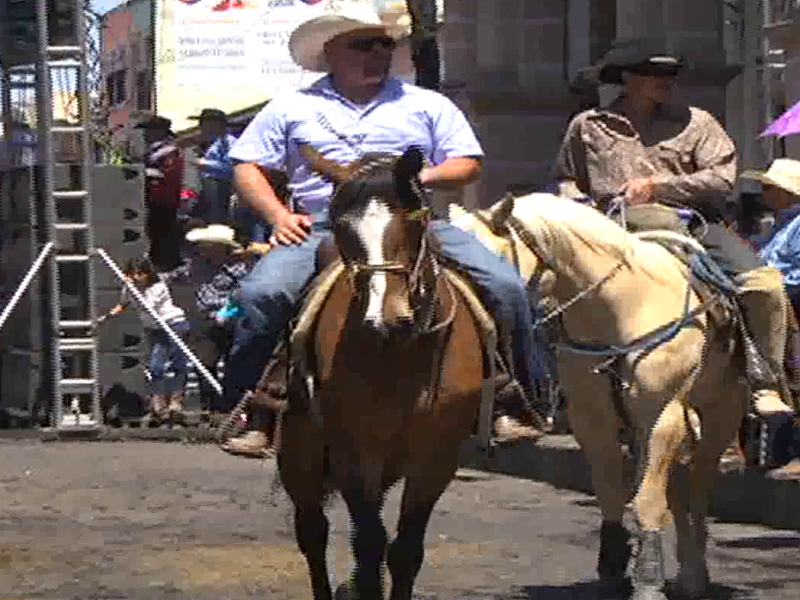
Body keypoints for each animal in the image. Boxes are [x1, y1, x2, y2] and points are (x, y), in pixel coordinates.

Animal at [278, 146, 490, 600]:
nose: (385, 317)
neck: (399, 355)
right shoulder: (351, 453)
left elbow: (405, 550)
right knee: (313, 532)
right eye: (341, 227)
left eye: (414, 218)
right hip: (301, 451)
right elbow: (370, 542)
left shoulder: (436, 457)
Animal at [450, 193, 752, 600]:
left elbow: (648, 501)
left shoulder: (663, 415)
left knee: (698, 486)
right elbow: (611, 493)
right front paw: (612, 571)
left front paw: (648, 582)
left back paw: (693, 575)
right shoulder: (592, 418)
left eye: (482, 264)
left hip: (722, 411)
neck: (624, 306)